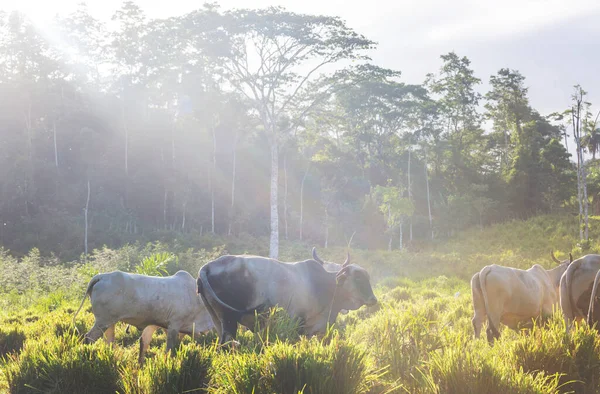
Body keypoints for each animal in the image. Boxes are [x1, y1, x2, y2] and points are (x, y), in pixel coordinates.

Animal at [72, 270, 214, 364]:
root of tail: (101, 276)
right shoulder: (174, 325)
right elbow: (169, 349)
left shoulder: (156, 325)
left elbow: (144, 344)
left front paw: (140, 365)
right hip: (102, 321)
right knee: (88, 338)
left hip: (110, 322)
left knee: (109, 342)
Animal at [197, 251, 376, 344]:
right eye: (358, 277)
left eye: (368, 276)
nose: (373, 300)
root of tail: (207, 266)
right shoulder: (299, 325)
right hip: (229, 320)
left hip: (217, 319)